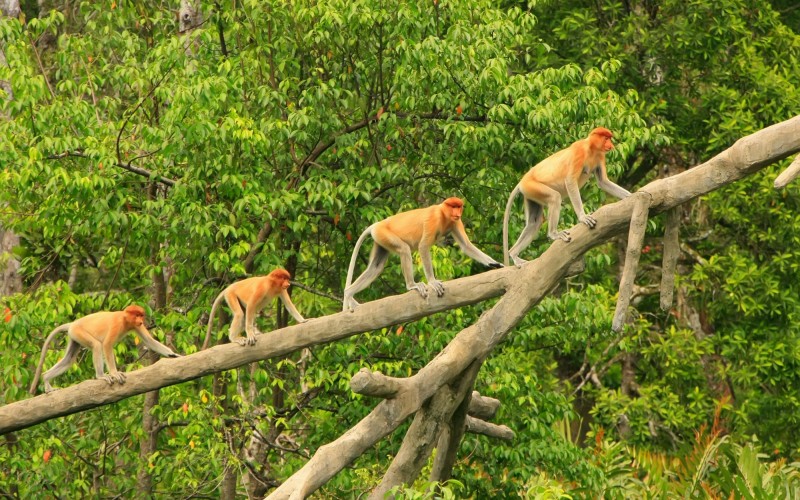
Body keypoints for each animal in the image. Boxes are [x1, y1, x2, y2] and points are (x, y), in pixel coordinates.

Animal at [29, 305, 179, 394]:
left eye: (141, 315)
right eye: (137, 315)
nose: (141, 320)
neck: (125, 319)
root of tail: (73, 324)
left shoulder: (136, 326)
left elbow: (150, 341)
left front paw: (174, 355)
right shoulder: (117, 324)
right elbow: (107, 345)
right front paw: (115, 373)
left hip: (74, 336)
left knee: (69, 359)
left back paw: (46, 379)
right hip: (79, 332)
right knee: (97, 345)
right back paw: (101, 376)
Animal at [343, 197, 503, 312]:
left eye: (459, 207)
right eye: (453, 207)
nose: (458, 213)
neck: (443, 213)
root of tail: (377, 224)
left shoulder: (455, 222)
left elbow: (466, 246)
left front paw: (495, 264)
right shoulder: (434, 219)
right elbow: (424, 246)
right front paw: (433, 282)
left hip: (380, 239)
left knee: (375, 267)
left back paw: (349, 294)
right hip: (384, 234)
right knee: (404, 249)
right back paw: (412, 285)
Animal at [503, 127, 632, 266]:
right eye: (606, 138)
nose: (611, 145)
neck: (591, 148)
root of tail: (522, 181)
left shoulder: (600, 156)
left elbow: (603, 182)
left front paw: (631, 195)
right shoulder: (579, 152)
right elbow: (570, 181)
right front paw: (583, 217)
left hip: (530, 194)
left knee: (534, 222)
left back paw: (514, 254)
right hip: (532, 186)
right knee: (555, 197)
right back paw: (554, 234)